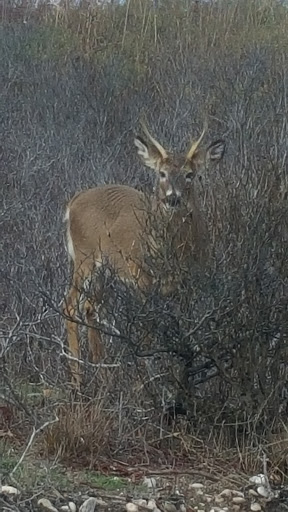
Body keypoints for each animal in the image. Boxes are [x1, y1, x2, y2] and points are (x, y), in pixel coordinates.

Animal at [62, 123, 225, 388]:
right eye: (161, 173)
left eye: (190, 174)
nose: (172, 198)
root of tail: (73, 202)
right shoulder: (142, 278)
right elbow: (148, 332)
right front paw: (152, 379)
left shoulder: (190, 283)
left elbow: (188, 332)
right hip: (85, 258)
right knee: (70, 306)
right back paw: (78, 381)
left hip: (106, 271)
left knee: (89, 307)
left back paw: (104, 375)